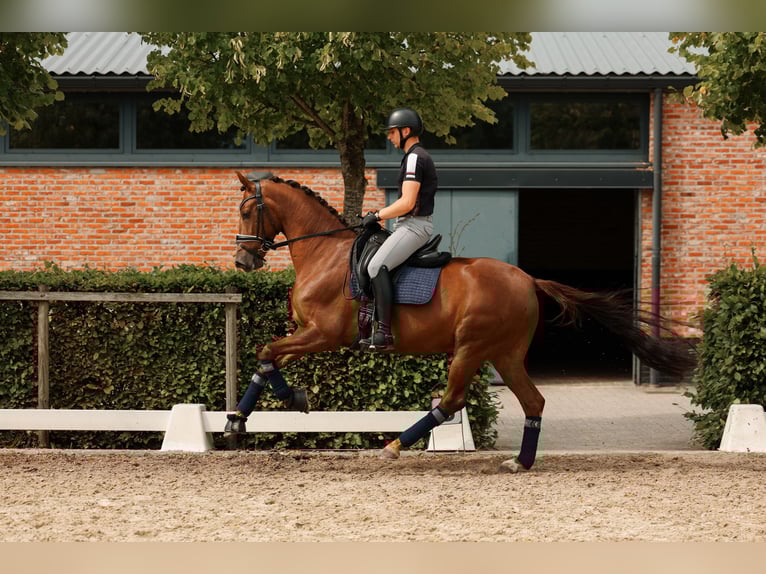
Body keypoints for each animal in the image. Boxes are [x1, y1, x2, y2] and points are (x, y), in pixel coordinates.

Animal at [227, 170, 696, 472]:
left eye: (247, 211)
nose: (242, 261)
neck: (325, 255)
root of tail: (528, 279)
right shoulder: (306, 334)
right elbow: (265, 357)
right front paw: (240, 420)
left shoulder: (322, 334)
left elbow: (267, 352)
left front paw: (289, 399)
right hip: (505, 354)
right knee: (533, 402)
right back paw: (520, 462)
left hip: (472, 348)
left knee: (452, 401)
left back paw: (394, 446)